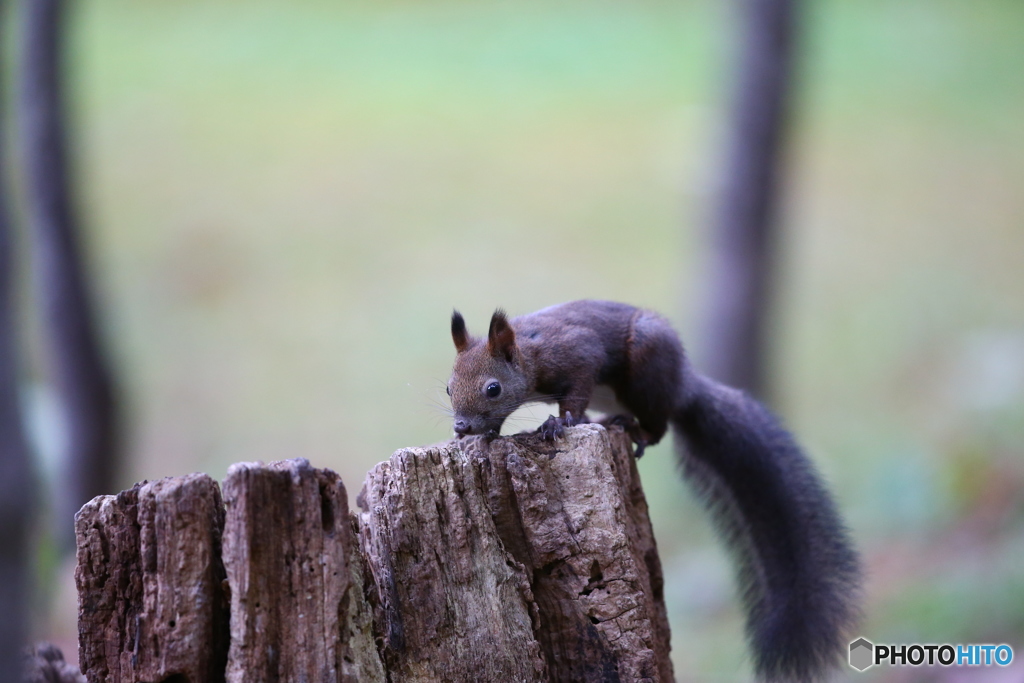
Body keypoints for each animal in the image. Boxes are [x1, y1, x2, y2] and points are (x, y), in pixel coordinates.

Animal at [448, 301, 864, 683]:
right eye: (450, 387)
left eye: (493, 388)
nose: (460, 426)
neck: (528, 353)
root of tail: (685, 384)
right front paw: (482, 439)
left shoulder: (577, 353)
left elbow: (576, 392)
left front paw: (559, 423)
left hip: (648, 366)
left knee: (657, 425)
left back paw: (634, 429)